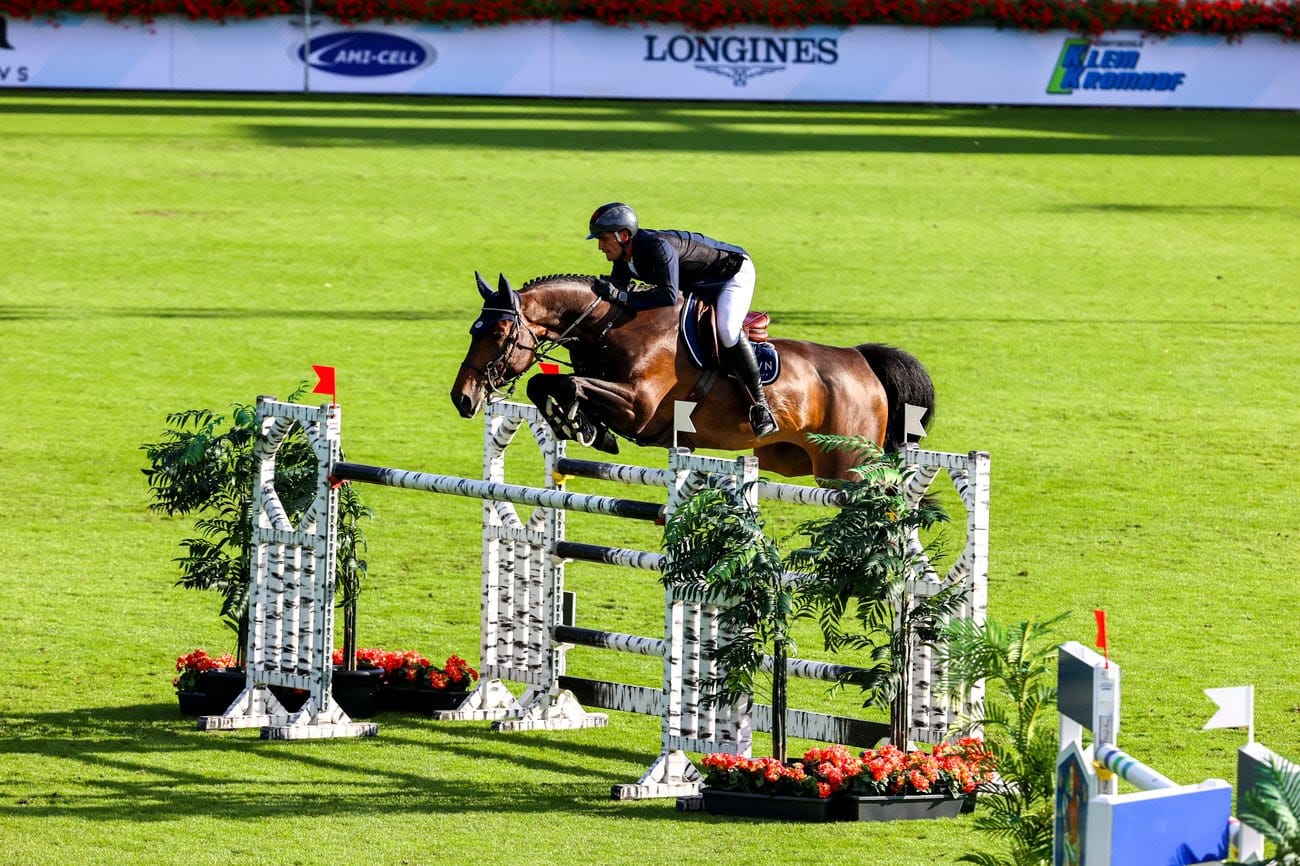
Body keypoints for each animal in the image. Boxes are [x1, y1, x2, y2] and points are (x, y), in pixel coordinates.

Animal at [449, 271, 935, 478]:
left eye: (498, 332)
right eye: (474, 330)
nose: (463, 397)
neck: (609, 326)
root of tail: (861, 361)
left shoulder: (640, 408)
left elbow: (569, 382)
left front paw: (582, 425)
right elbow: (544, 383)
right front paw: (580, 425)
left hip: (847, 468)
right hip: (794, 460)